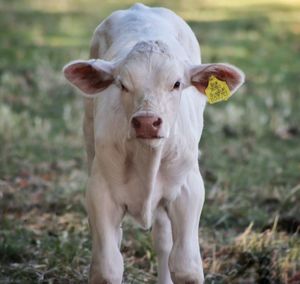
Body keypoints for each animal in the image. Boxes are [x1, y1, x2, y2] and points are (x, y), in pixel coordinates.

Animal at [63, 3, 244, 282]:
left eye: (177, 83)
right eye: (122, 84)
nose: (147, 122)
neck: (145, 157)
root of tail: (141, 7)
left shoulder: (188, 190)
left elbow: (185, 265)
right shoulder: (99, 191)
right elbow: (107, 267)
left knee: (163, 242)